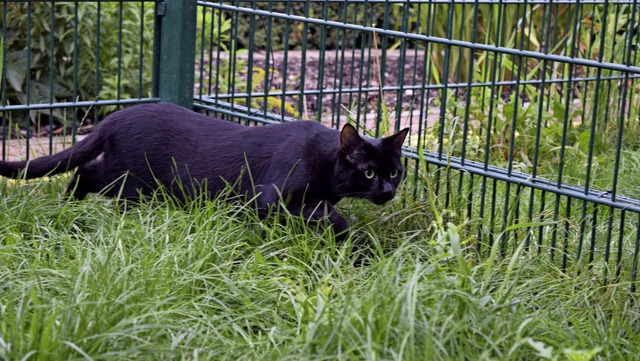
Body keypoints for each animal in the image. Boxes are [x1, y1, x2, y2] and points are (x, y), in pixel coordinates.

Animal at [0, 102, 408, 235]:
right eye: (368, 172)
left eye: (395, 172)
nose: (388, 192)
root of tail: (114, 116)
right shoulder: (270, 198)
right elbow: (323, 213)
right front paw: (345, 233)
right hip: (133, 183)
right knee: (88, 175)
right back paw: (70, 209)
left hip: (127, 178)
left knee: (84, 172)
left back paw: (68, 208)